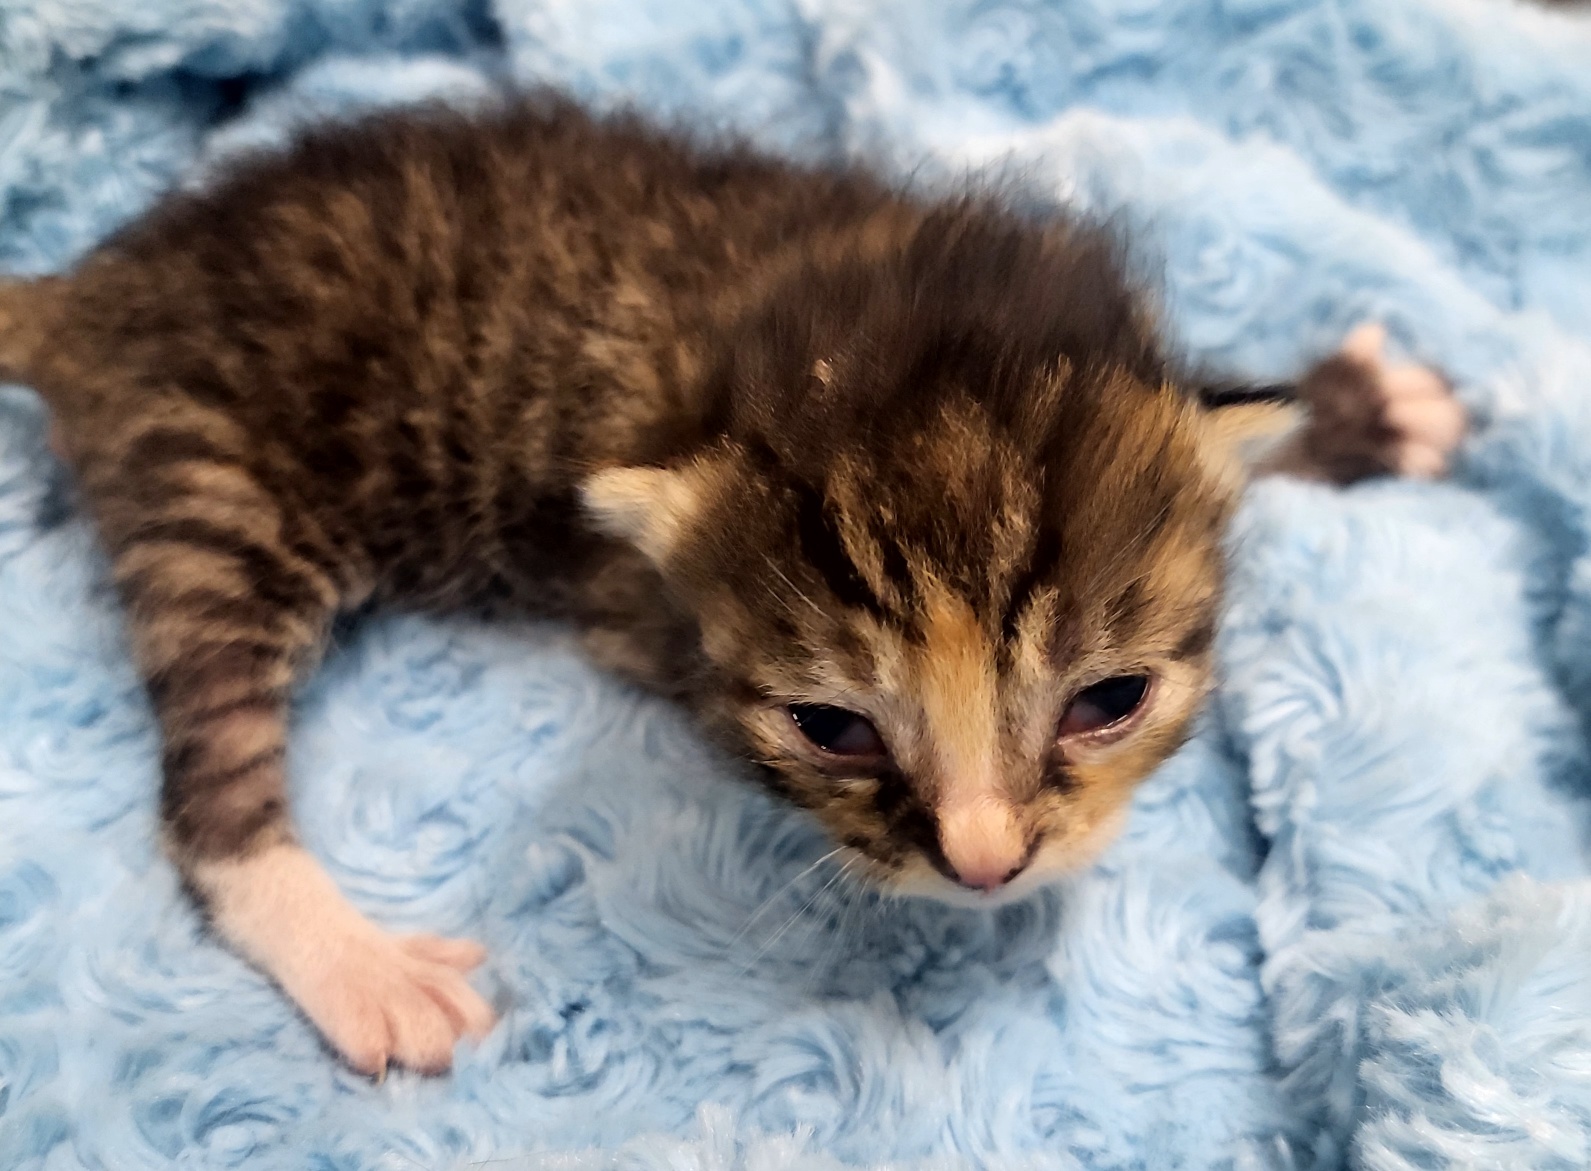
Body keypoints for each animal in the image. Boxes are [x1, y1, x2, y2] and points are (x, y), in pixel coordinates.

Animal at [0, 96, 1463, 1075]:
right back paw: (360, 968)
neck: (852, 318)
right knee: (207, 789)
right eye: (832, 727)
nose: (985, 863)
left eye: (1107, 700)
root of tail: (98, 287)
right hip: (215, 490)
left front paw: (1353, 410)